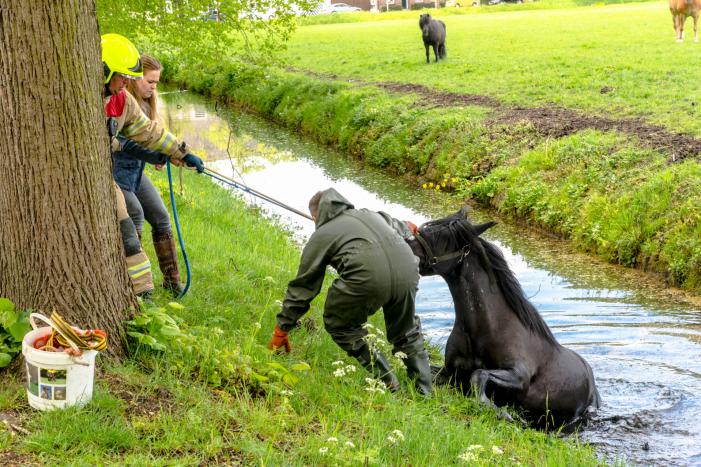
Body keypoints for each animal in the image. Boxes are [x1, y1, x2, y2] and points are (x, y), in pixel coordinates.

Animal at [407, 208, 600, 428]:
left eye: (440, 238)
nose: (405, 245)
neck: (487, 328)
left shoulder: (518, 376)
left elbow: (479, 375)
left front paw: (502, 412)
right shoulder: (450, 372)